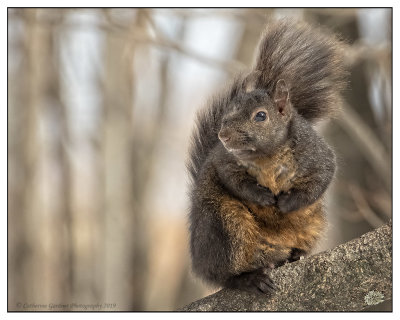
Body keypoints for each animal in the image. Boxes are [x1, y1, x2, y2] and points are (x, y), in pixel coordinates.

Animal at [188, 19, 346, 296]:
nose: (223, 135)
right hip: (225, 225)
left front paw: (287, 203)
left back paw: (293, 256)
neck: (266, 156)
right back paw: (248, 278)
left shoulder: (316, 153)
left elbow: (321, 178)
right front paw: (262, 197)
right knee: (223, 274)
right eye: (227, 113)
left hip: (311, 223)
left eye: (261, 116)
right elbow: (234, 180)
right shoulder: (224, 160)